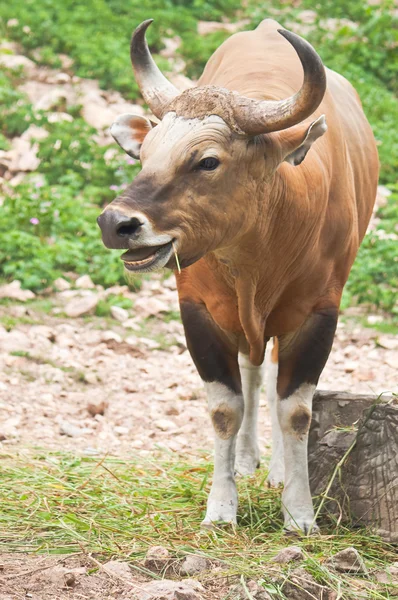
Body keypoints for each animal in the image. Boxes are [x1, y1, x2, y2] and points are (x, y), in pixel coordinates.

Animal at [98, 18, 378, 532]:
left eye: (208, 160)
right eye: (145, 155)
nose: (116, 223)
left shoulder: (319, 313)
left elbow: (296, 412)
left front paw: (299, 513)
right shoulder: (199, 311)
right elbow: (226, 409)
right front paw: (221, 509)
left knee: (270, 377)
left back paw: (278, 469)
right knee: (252, 371)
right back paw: (248, 462)